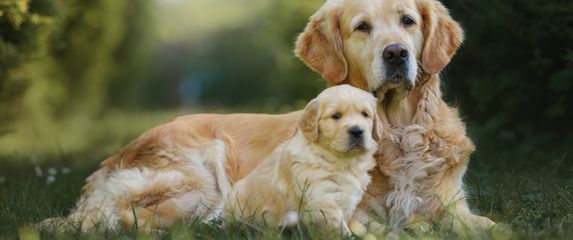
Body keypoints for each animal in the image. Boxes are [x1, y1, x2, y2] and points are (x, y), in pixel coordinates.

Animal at [223, 85, 380, 234]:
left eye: (365, 114)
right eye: (336, 115)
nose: (357, 131)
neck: (340, 161)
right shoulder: (322, 201)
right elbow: (340, 229)